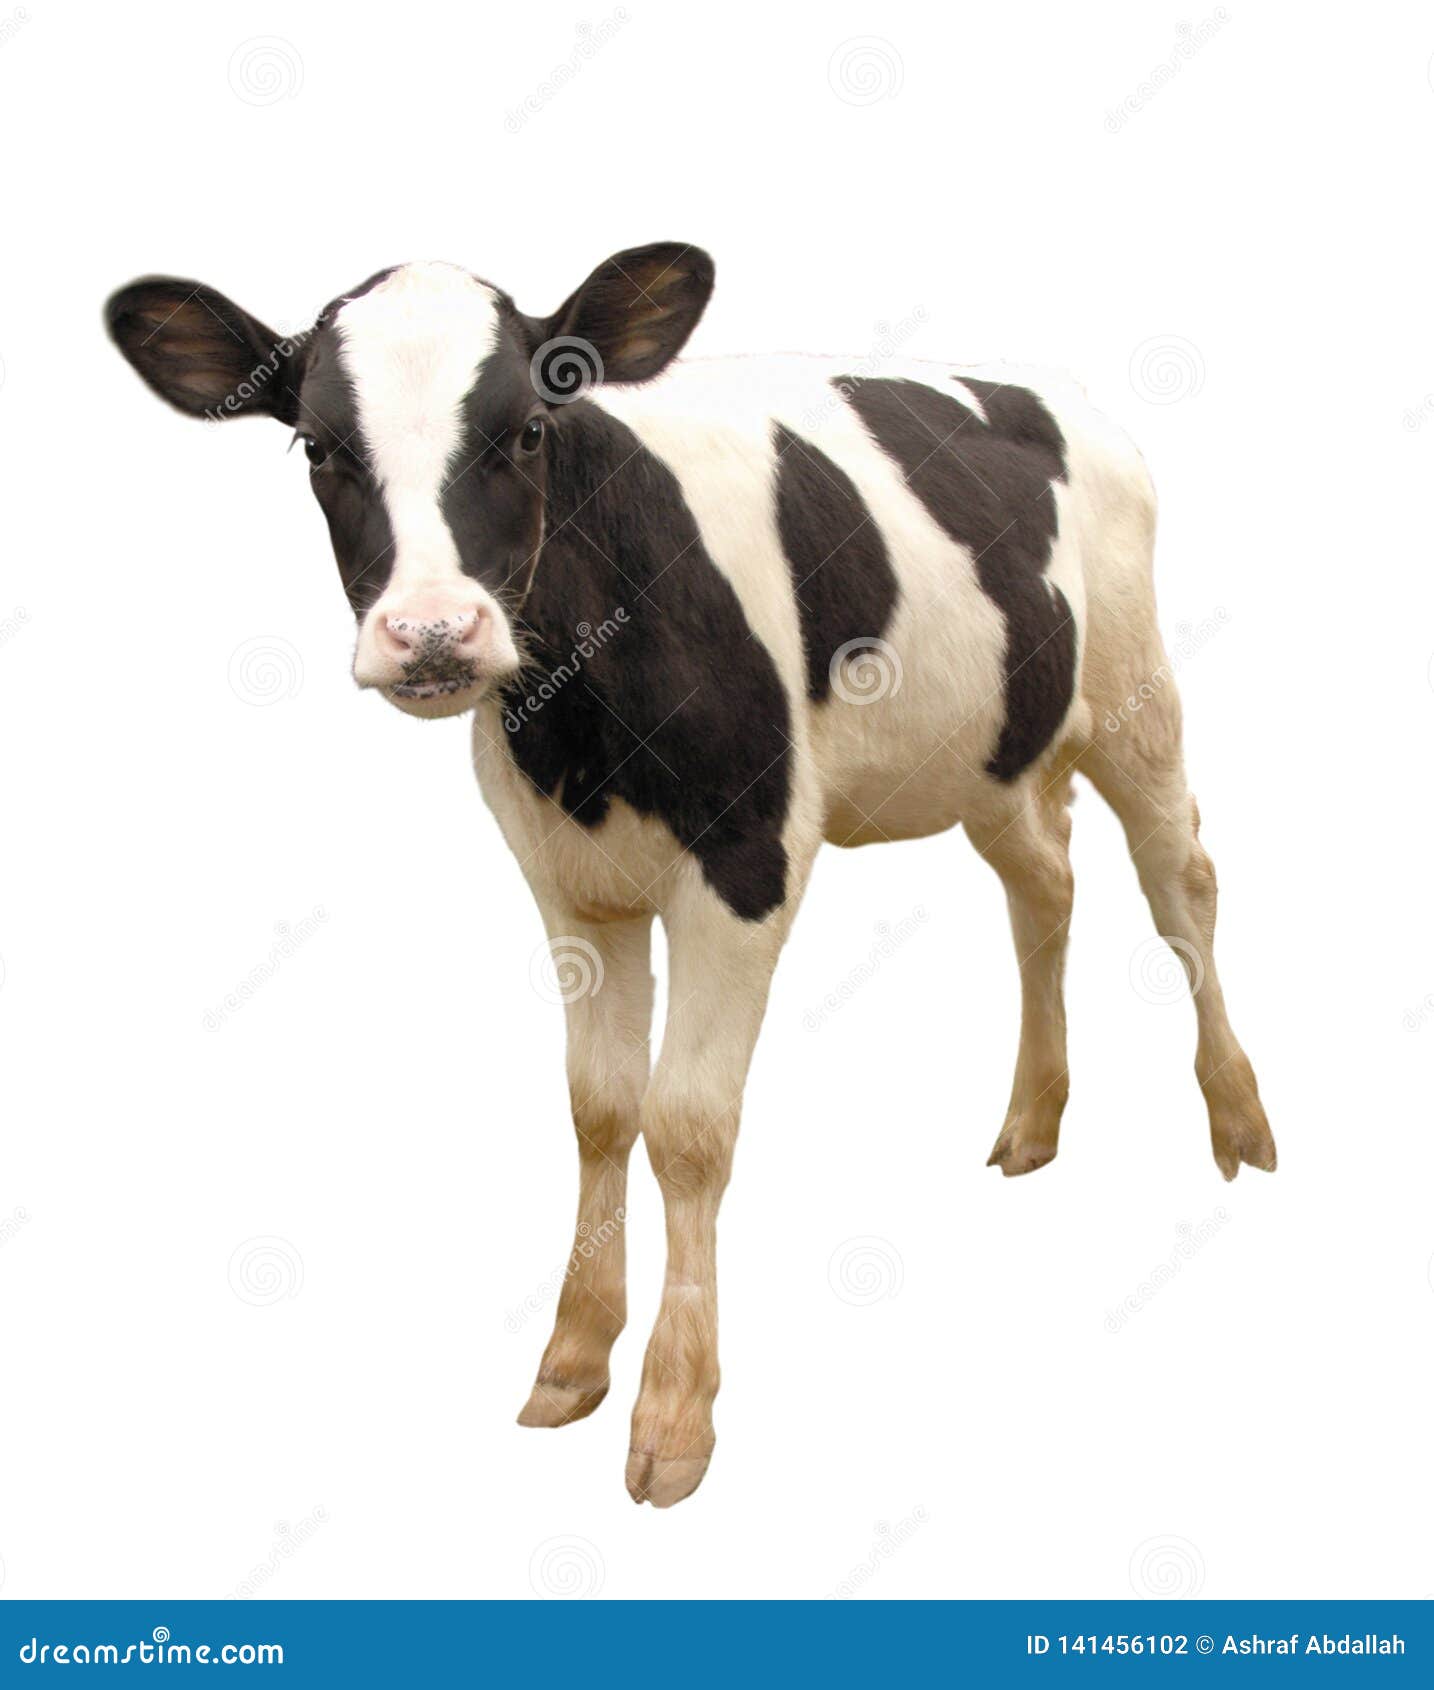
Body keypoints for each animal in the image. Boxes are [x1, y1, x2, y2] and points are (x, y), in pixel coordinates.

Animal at [105, 243, 1275, 1507]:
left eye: (529, 427)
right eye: (318, 446)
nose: (432, 633)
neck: (573, 729)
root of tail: (1049, 390)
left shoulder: (747, 861)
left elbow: (688, 1124)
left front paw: (674, 1412)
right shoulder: (567, 881)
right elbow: (599, 1106)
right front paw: (574, 1356)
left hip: (1135, 694)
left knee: (1181, 881)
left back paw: (1239, 1119)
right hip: (992, 750)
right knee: (1044, 886)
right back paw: (1031, 1119)